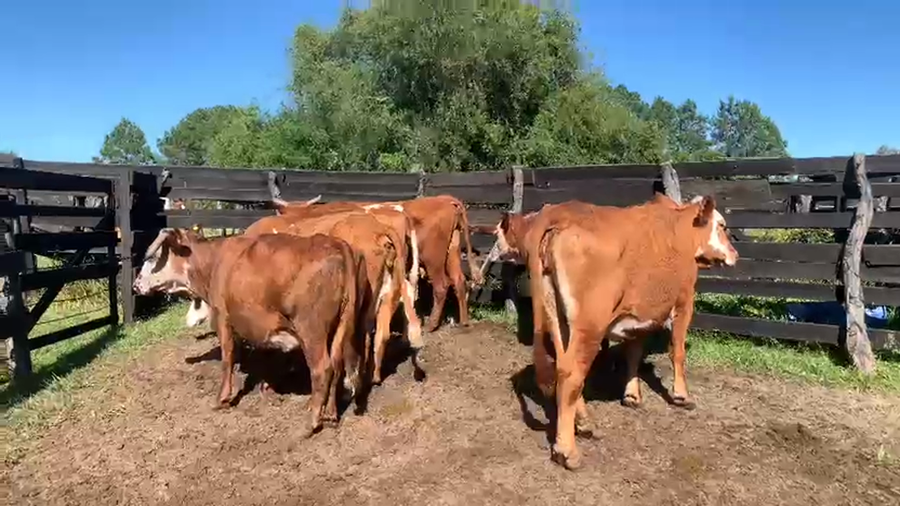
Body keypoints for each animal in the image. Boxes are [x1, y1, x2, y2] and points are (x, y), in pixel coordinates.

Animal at [132, 228, 366, 438]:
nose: (135, 285)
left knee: (322, 369)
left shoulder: (223, 318)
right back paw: (331, 414)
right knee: (336, 365)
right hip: (339, 327)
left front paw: (222, 399)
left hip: (311, 330)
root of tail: (336, 244)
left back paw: (311, 422)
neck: (213, 262)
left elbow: (227, 358)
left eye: (153, 257)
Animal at [273, 194, 483, 332]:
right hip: (451, 252)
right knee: (459, 280)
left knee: (441, 285)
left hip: (434, 257)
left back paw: (431, 325)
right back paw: (464, 322)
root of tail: (446, 199)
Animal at [494, 193, 738, 470]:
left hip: (556, 317)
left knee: (562, 366)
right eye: (722, 225)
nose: (735, 253)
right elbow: (677, 351)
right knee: (572, 374)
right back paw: (567, 450)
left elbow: (633, 353)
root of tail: (555, 219)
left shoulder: (638, 314)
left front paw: (632, 395)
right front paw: (681, 396)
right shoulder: (685, 300)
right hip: (590, 324)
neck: (680, 229)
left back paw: (585, 423)